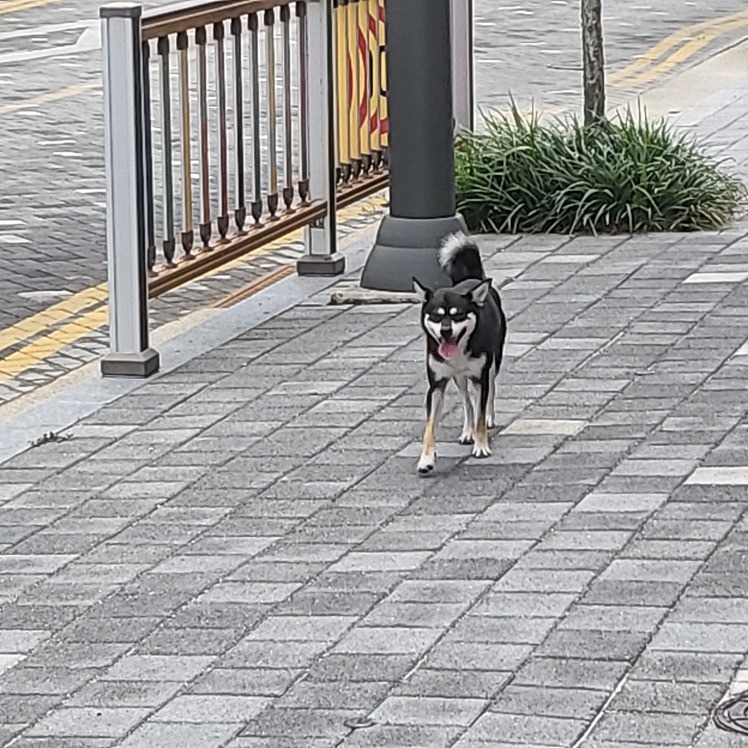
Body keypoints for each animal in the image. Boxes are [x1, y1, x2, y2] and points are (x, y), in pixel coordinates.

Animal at [410, 231, 508, 474]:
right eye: (436, 316)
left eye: (458, 315)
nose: (445, 331)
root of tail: (472, 279)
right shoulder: (436, 385)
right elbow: (430, 426)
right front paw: (426, 459)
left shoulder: (481, 376)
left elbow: (481, 411)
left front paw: (481, 446)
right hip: (458, 378)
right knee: (466, 400)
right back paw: (467, 431)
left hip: (492, 365)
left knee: (489, 392)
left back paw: (488, 419)